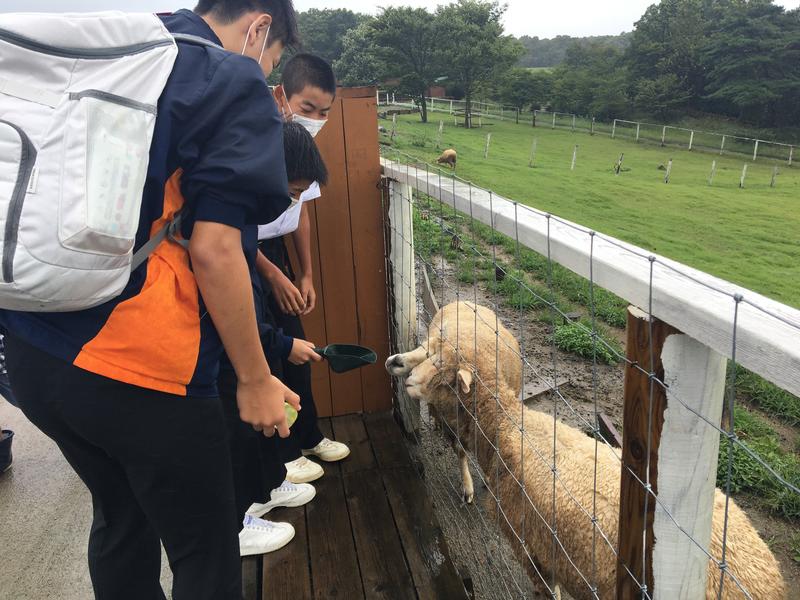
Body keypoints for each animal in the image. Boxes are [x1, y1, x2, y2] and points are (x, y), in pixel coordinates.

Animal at [386, 301, 786, 600]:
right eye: (428, 351)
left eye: (443, 375)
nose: (399, 368)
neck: (507, 427)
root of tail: (769, 577)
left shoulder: (533, 552)